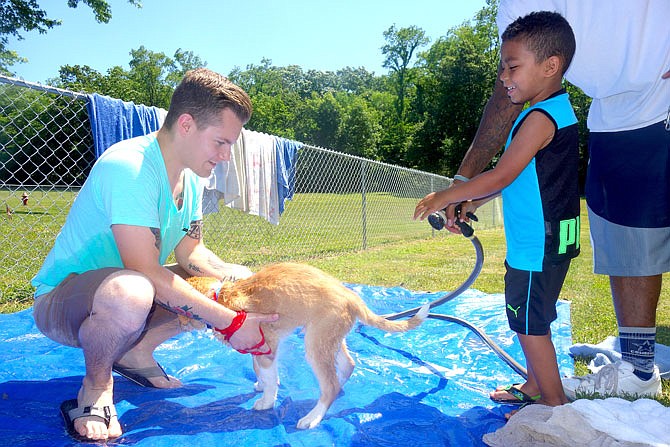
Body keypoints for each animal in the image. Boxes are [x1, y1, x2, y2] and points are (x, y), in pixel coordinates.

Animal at [185, 262, 430, 430]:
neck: (219, 297)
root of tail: (352, 297)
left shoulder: (267, 344)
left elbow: (268, 376)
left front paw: (266, 400)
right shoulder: (258, 345)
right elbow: (260, 370)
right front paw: (260, 385)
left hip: (316, 343)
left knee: (330, 386)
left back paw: (312, 417)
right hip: (330, 337)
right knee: (347, 366)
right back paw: (338, 388)